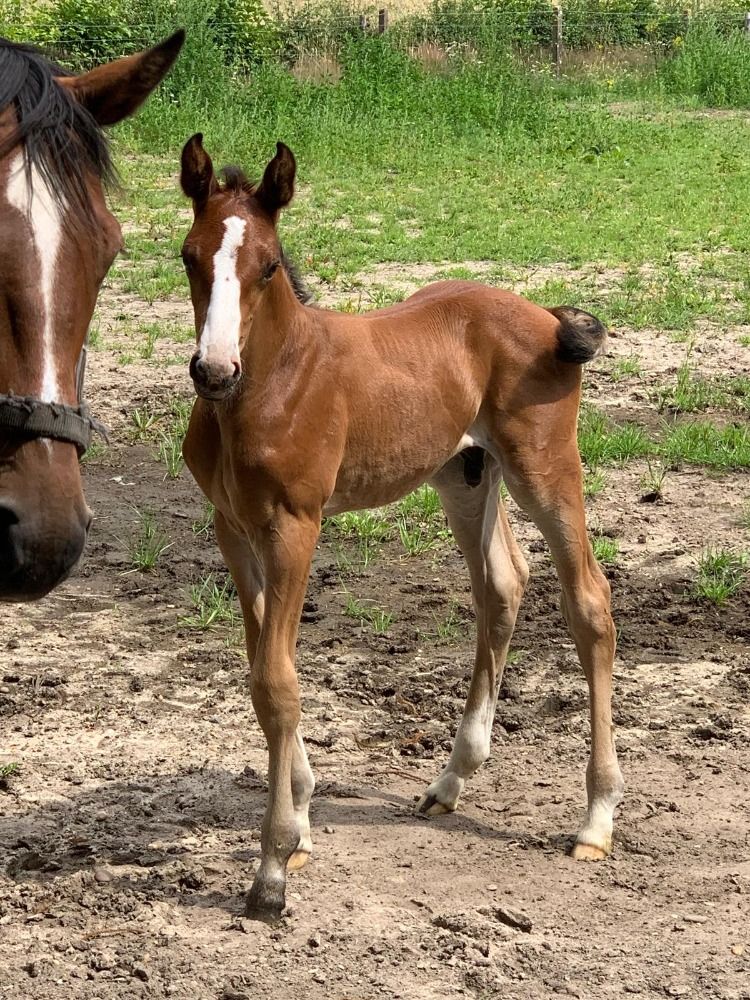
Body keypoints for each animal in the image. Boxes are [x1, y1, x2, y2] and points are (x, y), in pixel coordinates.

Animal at [179, 134, 625, 922]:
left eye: (268, 264)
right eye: (188, 256)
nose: (214, 369)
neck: (272, 382)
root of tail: (546, 314)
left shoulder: (294, 526)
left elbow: (278, 681)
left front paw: (273, 869)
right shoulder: (233, 528)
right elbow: (262, 669)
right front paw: (300, 817)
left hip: (545, 469)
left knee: (589, 603)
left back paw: (596, 819)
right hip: (466, 475)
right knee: (502, 584)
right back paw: (451, 780)